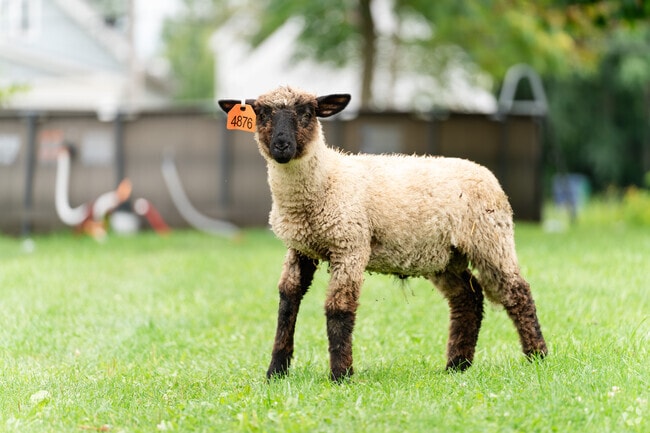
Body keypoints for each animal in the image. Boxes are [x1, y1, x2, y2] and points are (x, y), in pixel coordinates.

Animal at [218, 86, 547, 381]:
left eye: (307, 112)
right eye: (262, 114)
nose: (282, 146)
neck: (326, 179)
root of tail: (486, 173)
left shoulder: (350, 245)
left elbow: (338, 308)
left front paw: (341, 375)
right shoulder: (299, 248)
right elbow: (287, 302)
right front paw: (275, 372)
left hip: (490, 240)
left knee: (517, 292)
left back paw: (537, 356)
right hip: (444, 257)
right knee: (469, 298)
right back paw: (457, 365)